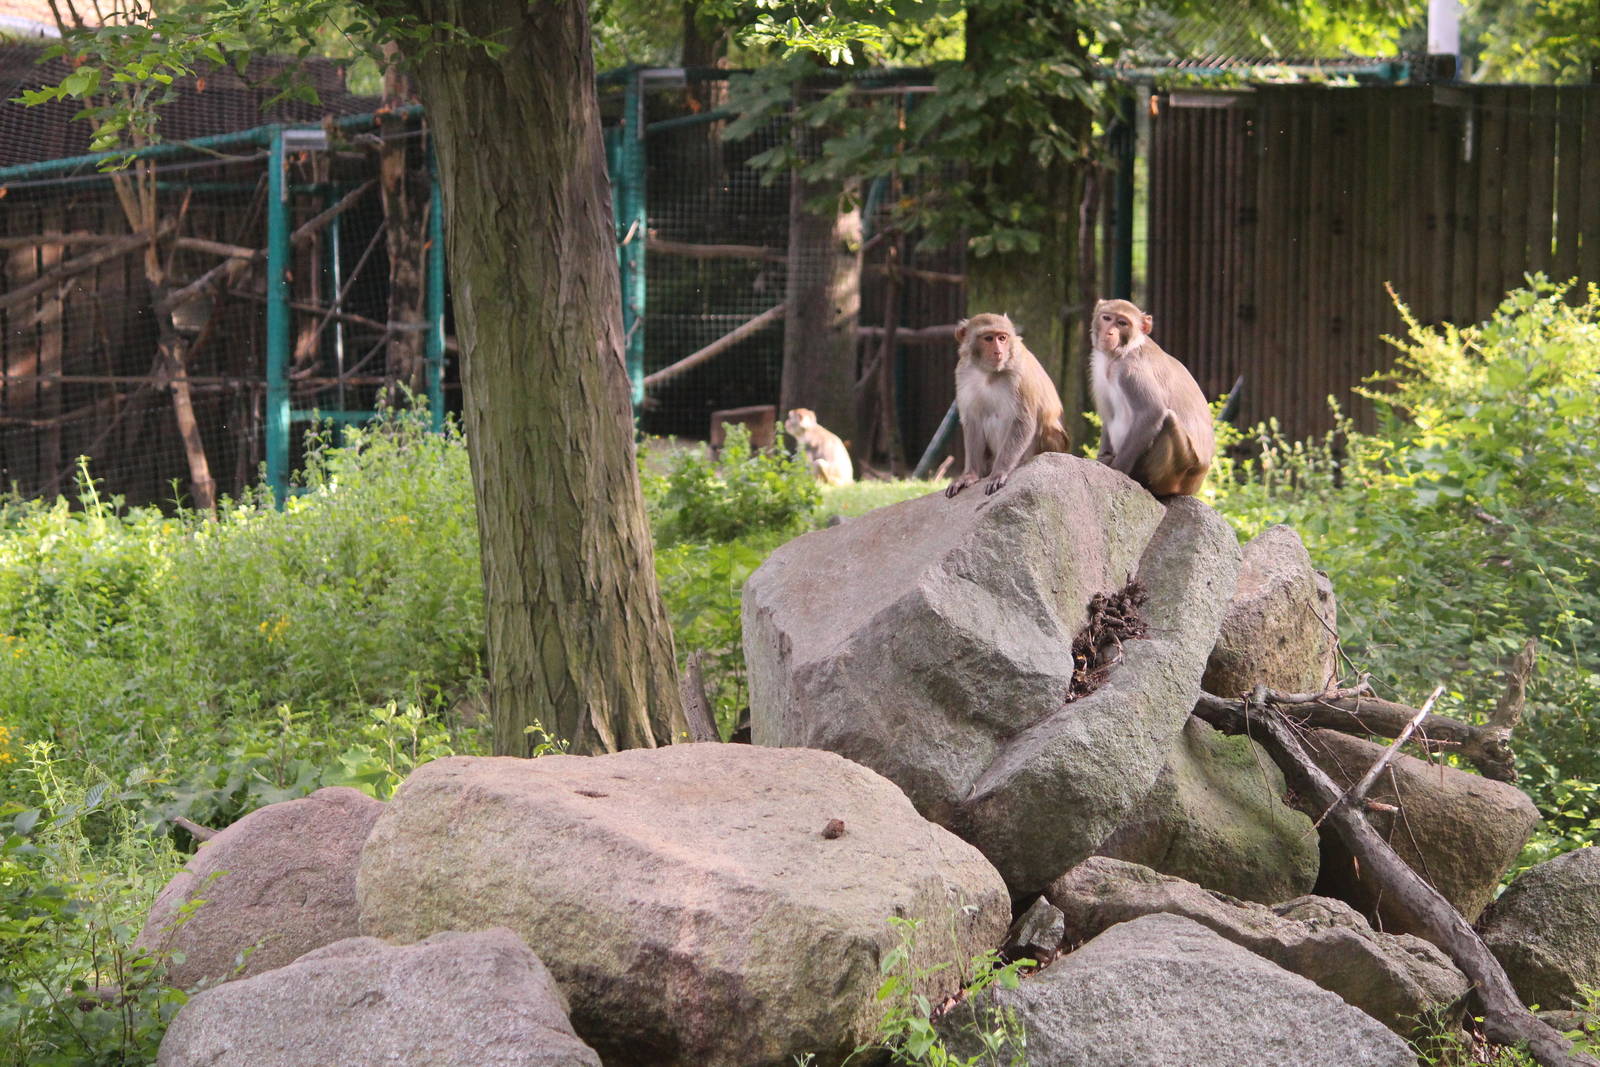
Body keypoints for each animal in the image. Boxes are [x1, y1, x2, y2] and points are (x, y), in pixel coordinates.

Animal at [945, 312, 1070, 498]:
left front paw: (999, 472)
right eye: (988, 338)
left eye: (1002, 338)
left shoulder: (1020, 374)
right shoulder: (963, 373)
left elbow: (1023, 422)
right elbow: (973, 421)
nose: (998, 351)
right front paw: (969, 475)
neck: (989, 373)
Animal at [1089, 298, 1215, 497]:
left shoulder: (1130, 371)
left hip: (1180, 470)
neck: (1120, 353)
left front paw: (1117, 469)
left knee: (1168, 420)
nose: (1109, 332)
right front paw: (1103, 457)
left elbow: (1152, 411)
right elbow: (1108, 415)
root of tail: (1195, 484)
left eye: (1122, 323)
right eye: (1107, 318)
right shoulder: (1099, 370)